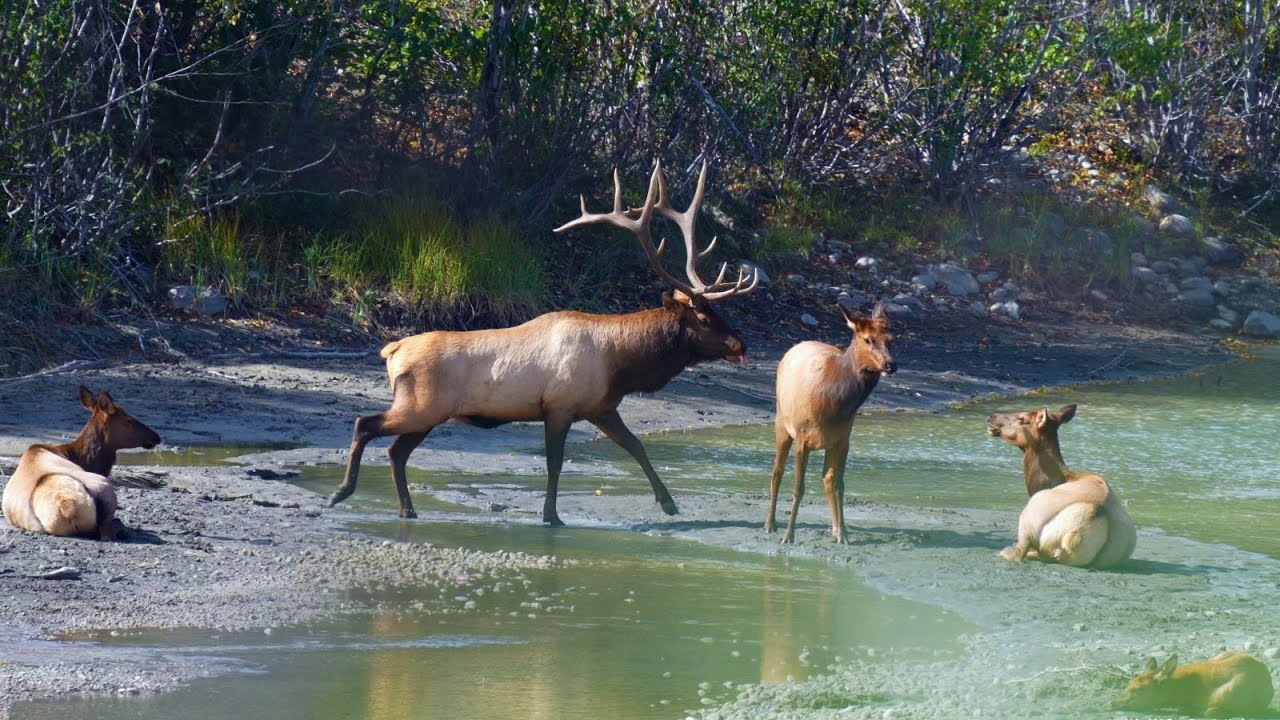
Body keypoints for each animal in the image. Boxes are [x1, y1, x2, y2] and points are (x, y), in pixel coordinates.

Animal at [326, 160, 759, 526]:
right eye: (703, 317)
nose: (741, 344)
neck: (621, 364)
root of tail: (391, 351)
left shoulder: (602, 407)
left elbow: (637, 446)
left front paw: (669, 504)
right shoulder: (559, 406)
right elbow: (556, 463)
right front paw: (551, 516)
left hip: (429, 413)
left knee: (396, 450)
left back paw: (406, 509)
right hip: (421, 405)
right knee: (366, 424)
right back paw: (341, 493)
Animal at [764, 302, 896, 544]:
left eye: (891, 338)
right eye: (867, 339)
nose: (891, 365)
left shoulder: (843, 440)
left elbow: (838, 485)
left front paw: (843, 534)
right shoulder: (802, 438)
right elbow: (798, 488)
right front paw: (789, 535)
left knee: (827, 479)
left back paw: (835, 530)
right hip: (781, 423)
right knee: (777, 472)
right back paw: (770, 524)